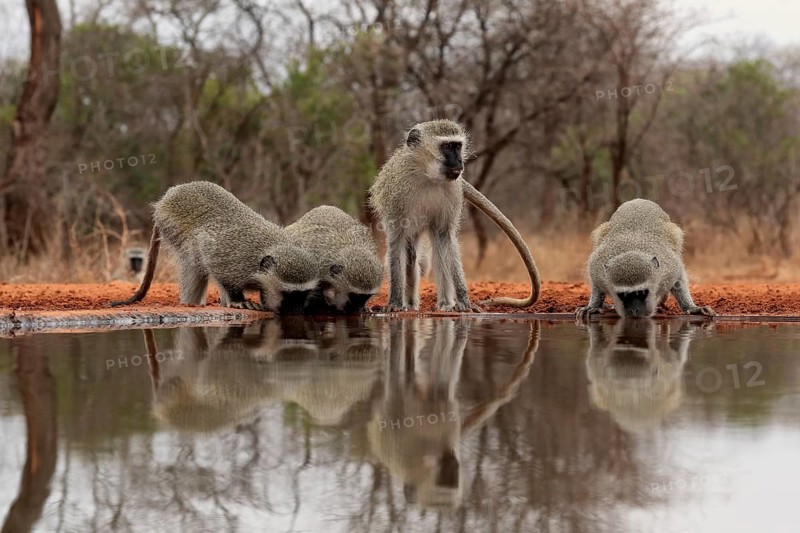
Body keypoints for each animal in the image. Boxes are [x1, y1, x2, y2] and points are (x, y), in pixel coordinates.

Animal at [110, 181, 319, 313]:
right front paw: (238, 301)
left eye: (303, 294)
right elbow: (216, 266)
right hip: (170, 222)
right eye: (288, 294)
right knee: (194, 260)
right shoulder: (230, 258)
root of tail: (166, 198)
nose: (296, 311)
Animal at [368, 119, 541, 312]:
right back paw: (411, 305)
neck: (427, 176)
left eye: (458, 146)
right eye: (447, 147)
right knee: (410, 255)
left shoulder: (453, 192)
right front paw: (395, 303)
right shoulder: (397, 193)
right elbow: (397, 240)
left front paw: (464, 301)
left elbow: (446, 238)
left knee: (437, 246)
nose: (459, 161)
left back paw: (445, 304)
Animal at [576, 199, 715, 320]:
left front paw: (691, 307)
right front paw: (594, 306)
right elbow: (596, 283)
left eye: (642, 293)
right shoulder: (597, 267)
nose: (634, 311)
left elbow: (678, 279)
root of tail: (638, 200)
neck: (631, 249)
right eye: (623, 295)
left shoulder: (669, 266)